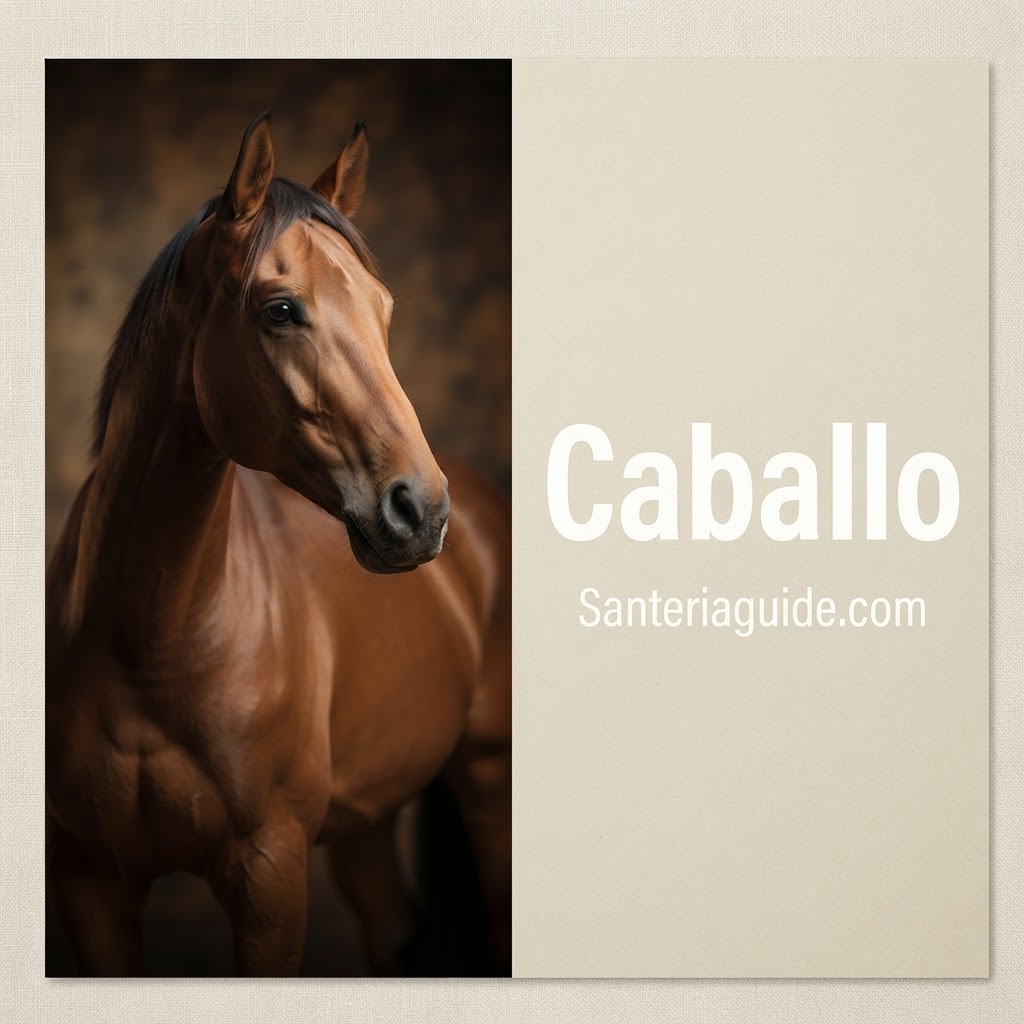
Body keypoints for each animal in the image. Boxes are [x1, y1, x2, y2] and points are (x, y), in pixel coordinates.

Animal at [45, 112, 511, 977]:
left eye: (384, 309)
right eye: (282, 309)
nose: (420, 509)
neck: (156, 642)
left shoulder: (269, 877)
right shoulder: (91, 882)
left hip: (489, 783)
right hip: (365, 823)